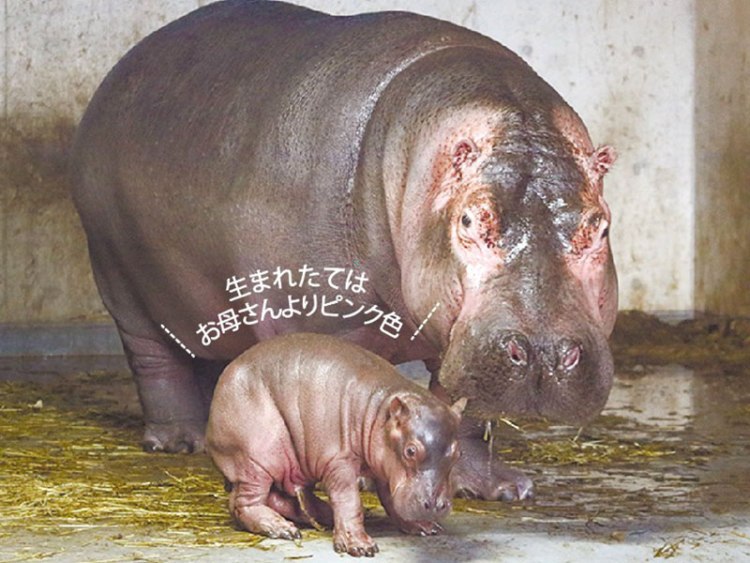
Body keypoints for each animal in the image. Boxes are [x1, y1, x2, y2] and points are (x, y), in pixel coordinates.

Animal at [72, 1, 616, 502]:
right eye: (469, 219)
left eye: (601, 226)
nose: (544, 351)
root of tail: (126, 63)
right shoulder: (321, 321)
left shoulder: (460, 343)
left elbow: (463, 413)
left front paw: (502, 488)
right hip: (117, 274)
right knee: (155, 360)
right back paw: (179, 441)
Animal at [206, 332, 464, 556]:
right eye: (411, 450)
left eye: (458, 454)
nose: (436, 505)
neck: (379, 408)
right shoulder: (339, 461)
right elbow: (349, 500)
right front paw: (360, 547)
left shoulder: (387, 469)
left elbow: (392, 500)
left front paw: (425, 527)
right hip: (258, 455)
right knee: (242, 503)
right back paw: (283, 529)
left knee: (284, 497)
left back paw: (321, 518)